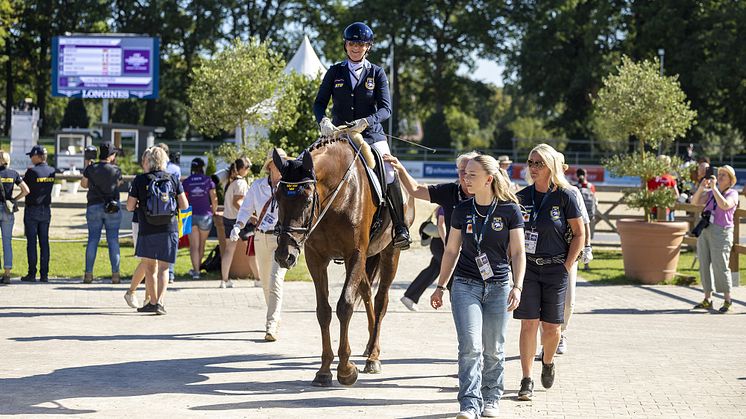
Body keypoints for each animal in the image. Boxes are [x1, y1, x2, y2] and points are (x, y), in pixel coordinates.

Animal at [272, 135, 412, 388]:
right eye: (277, 198)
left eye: (308, 199)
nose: (284, 256)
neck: (338, 194)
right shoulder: (315, 258)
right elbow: (323, 311)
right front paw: (324, 370)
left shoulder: (354, 254)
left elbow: (344, 306)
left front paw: (346, 370)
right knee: (366, 292)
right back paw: (369, 346)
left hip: (389, 253)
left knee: (381, 300)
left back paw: (373, 357)